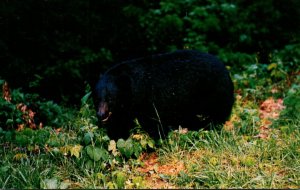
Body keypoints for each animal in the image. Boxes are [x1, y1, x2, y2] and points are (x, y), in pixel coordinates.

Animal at [95, 49, 234, 140]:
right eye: (97, 98)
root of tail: (225, 69)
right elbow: (120, 122)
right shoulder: (127, 107)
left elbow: (154, 122)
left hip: (213, 91)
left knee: (217, 112)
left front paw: (160, 138)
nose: (101, 114)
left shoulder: (149, 99)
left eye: (110, 98)